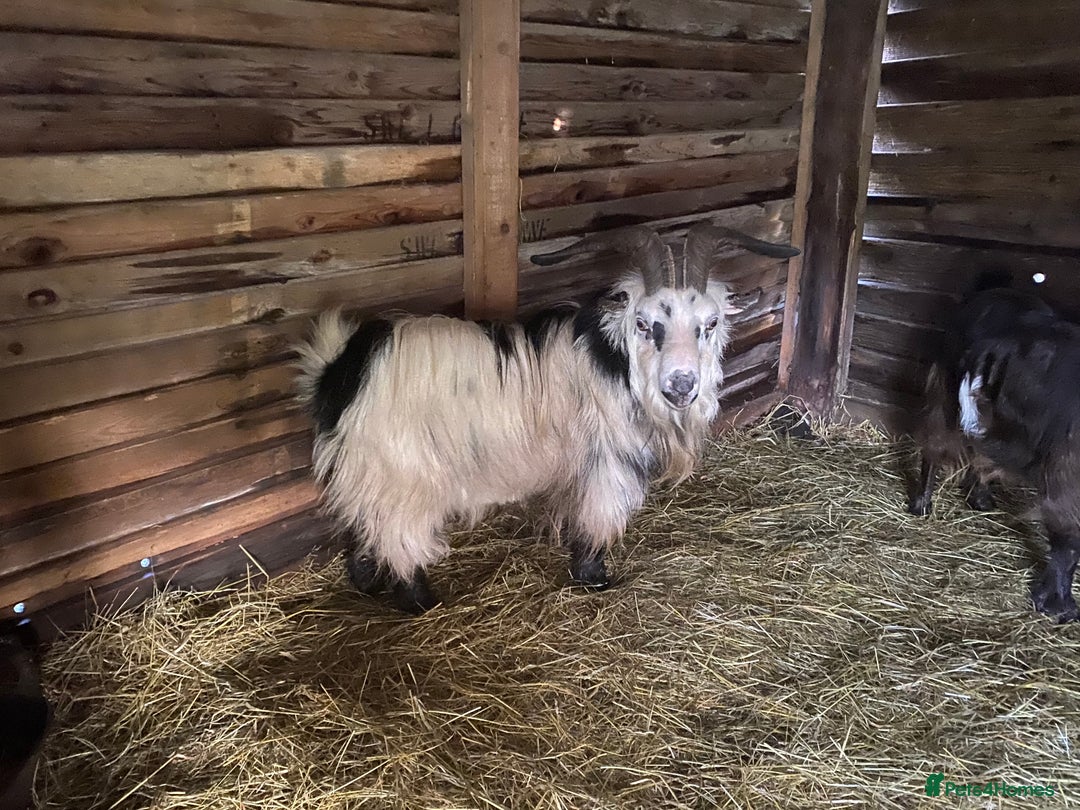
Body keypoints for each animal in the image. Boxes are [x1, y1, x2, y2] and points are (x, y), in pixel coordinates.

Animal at [295, 223, 799, 612]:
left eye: (709, 324)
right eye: (643, 323)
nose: (681, 385)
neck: (612, 362)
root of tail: (340, 366)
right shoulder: (607, 462)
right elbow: (598, 517)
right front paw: (595, 576)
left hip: (365, 469)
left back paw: (366, 582)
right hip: (403, 473)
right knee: (397, 535)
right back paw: (419, 601)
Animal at [909, 277, 1080, 622]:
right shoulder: (1066, 472)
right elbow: (1068, 541)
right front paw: (1058, 605)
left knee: (980, 453)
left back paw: (980, 498)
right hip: (945, 391)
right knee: (935, 444)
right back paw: (922, 503)